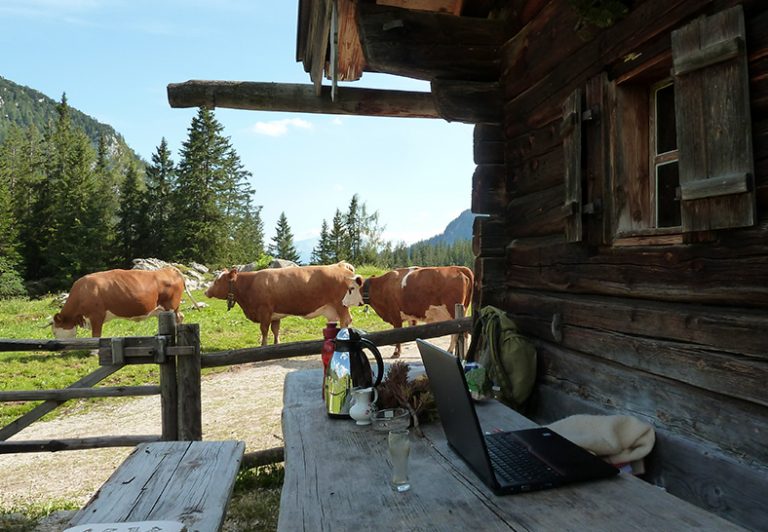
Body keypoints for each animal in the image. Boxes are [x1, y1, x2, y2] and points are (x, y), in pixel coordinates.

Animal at [52, 268, 186, 338]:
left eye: (54, 331)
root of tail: (169, 269)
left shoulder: (96, 316)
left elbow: (96, 335)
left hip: (170, 307)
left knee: (176, 319)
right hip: (164, 309)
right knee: (180, 317)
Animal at [207, 260, 356, 344]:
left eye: (218, 281)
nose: (206, 292)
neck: (250, 284)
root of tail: (340, 265)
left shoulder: (264, 312)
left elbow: (264, 330)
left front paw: (263, 345)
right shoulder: (275, 315)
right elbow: (275, 330)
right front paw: (276, 343)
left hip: (341, 305)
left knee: (346, 320)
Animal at [344, 264, 474, 358]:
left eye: (351, 288)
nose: (343, 302)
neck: (381, 287)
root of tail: (459, 268)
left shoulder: (395, 315)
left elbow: (397, 335)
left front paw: (396, 353)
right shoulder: (410, 316)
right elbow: (409, 333)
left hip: (454, 311)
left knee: (462, 333)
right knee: (456, 333)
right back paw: (451, 351)